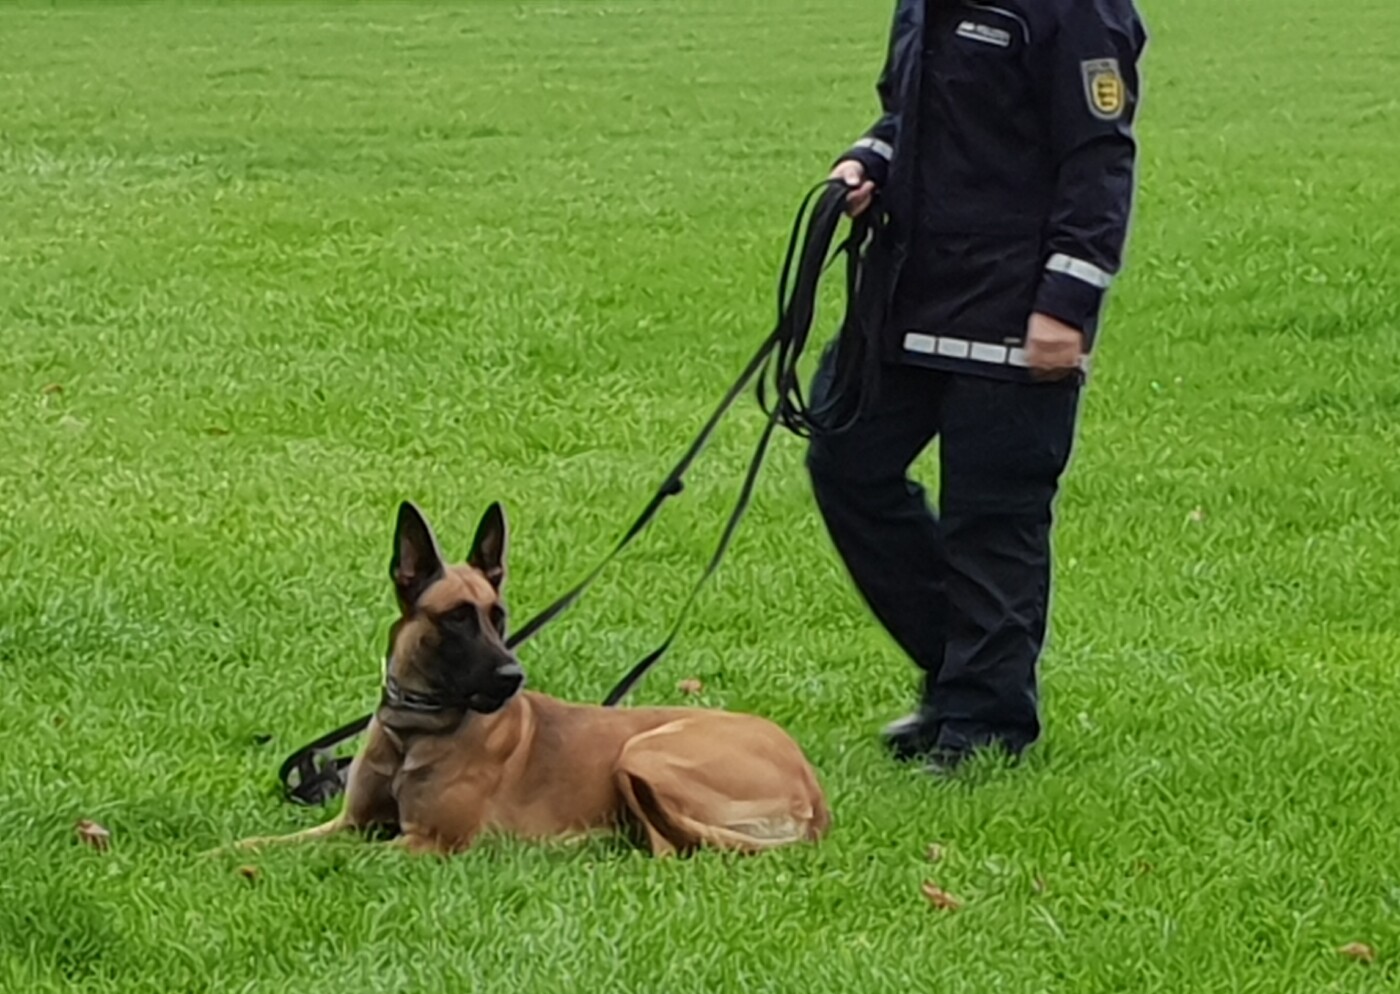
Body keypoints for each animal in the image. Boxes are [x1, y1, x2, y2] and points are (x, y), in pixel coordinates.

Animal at [226, 501, 828, 862]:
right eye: (457, 618)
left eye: (499, 616)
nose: (513, 676)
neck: (415, 728)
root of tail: (813, 791)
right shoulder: (349, 824)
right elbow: (265, 842)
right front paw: (222, 854)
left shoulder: (426, 842)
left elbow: (325, 856)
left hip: (640, 752)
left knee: (670, 851)